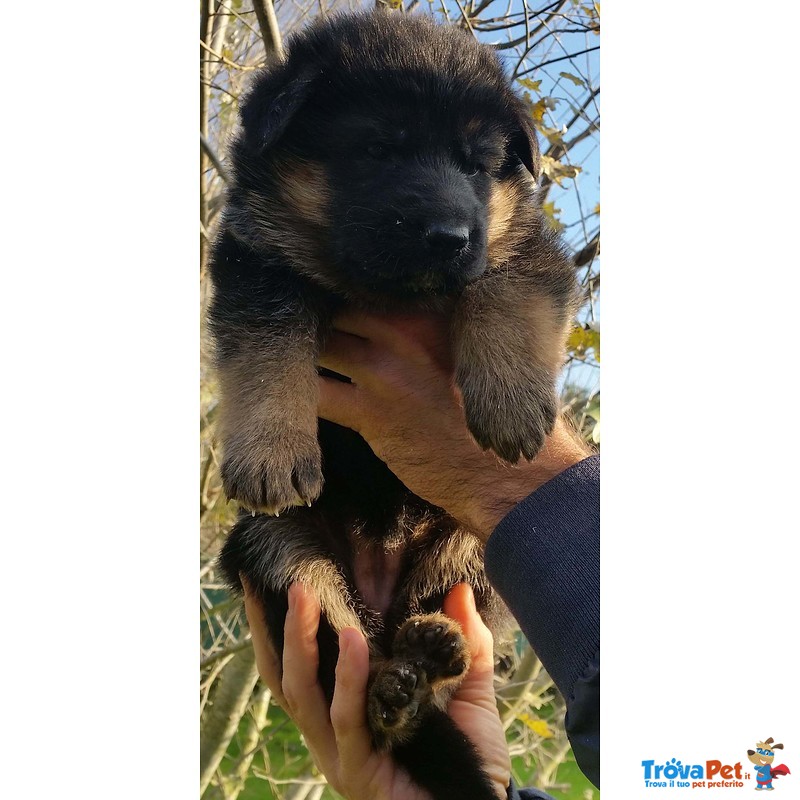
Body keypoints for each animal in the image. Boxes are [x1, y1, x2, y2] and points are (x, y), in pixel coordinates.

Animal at [211, 9, 576, 796]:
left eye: (478, 164)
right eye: (377, 149)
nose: (449, 236)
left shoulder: (523, 246)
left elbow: (504, 284)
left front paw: (510, 399)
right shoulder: (257, 263)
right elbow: (267, 347)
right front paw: (272, 453)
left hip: (474, 550)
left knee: (437, 630)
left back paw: (425, 659)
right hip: (282, 552)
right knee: (345, 642)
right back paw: (394, 692)